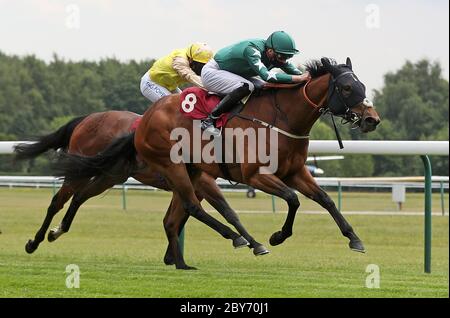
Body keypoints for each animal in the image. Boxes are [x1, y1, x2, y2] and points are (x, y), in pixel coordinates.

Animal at [14, 110, 268, 270]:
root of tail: (87, 118)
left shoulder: (190, 184)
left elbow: (179, 217)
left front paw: (172, 257)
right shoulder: (203, 183)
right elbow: (224, 212)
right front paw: (249, 242)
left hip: (111, 174)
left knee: (79, 197)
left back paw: (57, 231)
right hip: (82, 168)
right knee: (57, 201)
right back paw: (34, 242)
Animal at [53, 57, 380, 266]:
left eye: (363, 85)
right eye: (347, 88)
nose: (371, 119)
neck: (281, 118)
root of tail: (145, 120)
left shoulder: (296, 171)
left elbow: (325, 199)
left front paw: (354, 239)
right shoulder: (255, 175)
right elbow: (291, 199)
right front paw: (276, 237)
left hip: (166, 173)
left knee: (173, 215)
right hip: (168, 168)